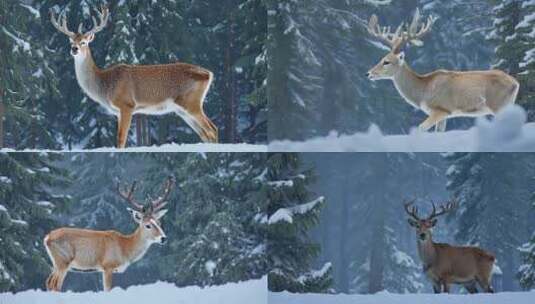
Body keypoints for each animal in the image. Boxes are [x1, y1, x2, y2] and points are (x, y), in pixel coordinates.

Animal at [44, 178, 174, 292]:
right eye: (147, 225)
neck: (124, 248)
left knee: (48, 282)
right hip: (63, 260)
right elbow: (107, 290)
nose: (163, 238)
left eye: (159, 223)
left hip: (56, 263)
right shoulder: (108, 265)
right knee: (55, 285)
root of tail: (47, 238)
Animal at [49, 5, 218, 147]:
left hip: (191, 102)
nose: (74, 49)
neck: (105, 85)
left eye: (84, 42)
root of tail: (208, 74)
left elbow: (121, 139)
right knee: (204, 134)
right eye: (71, 41)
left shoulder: (127, 104)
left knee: (212, 129)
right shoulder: (118, 112)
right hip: (182, 109)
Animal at [366, 9, 520, 132]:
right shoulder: (444, 114)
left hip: (499, 105)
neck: (423, 90)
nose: (368, 73)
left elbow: (421, 128)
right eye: (381, 58)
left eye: (386, 61)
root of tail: (516, 83)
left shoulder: (441, 108)